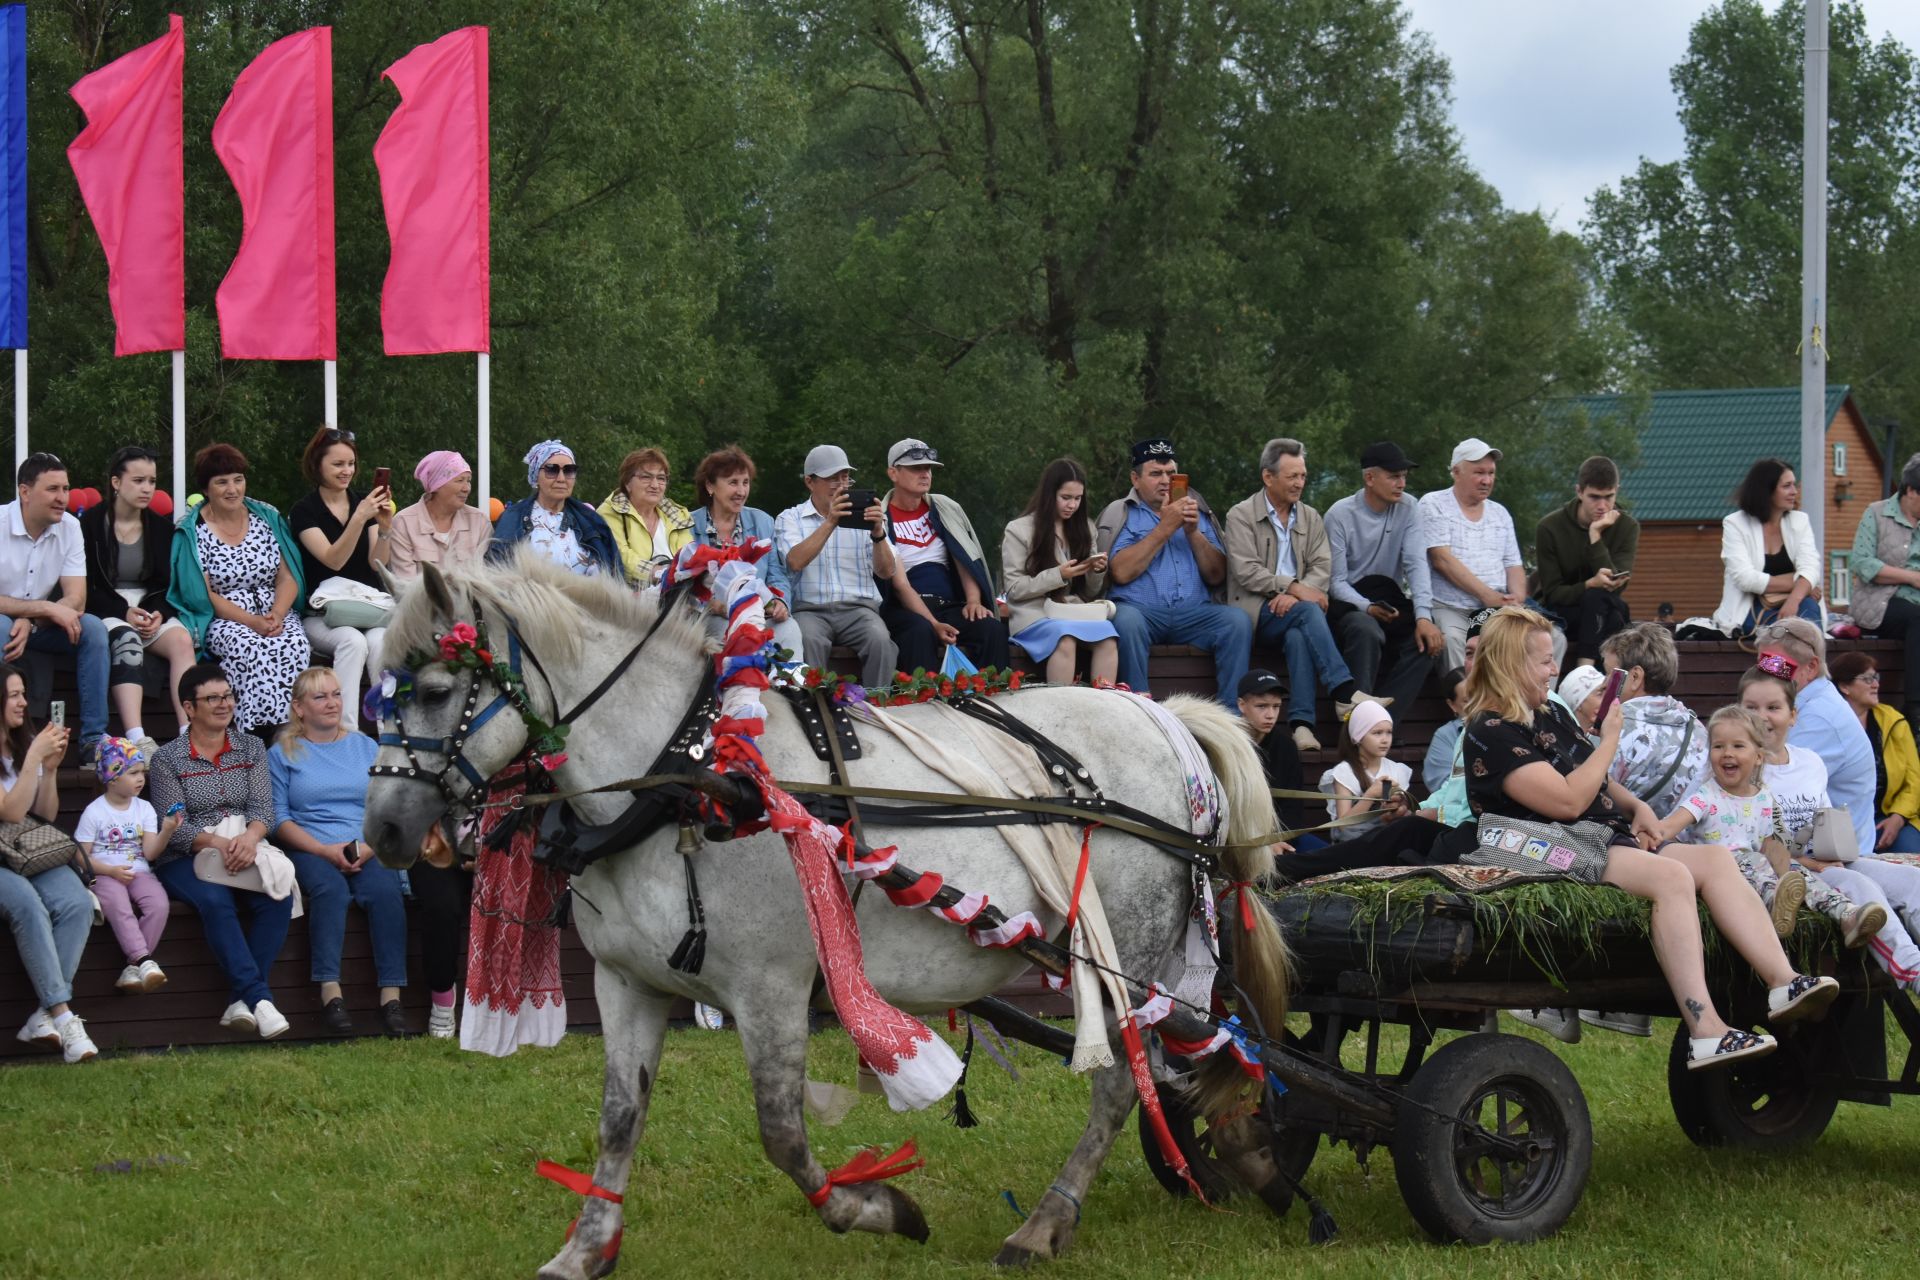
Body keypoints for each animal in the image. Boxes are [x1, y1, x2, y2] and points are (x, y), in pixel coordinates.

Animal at [360, 556, 1290, 1274]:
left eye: (436, 689)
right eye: (378, 695)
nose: (384, 831)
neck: (692, 773)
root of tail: (1164, 714)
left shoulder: (771, 990)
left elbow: (781, 1133)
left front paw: (878, 1209)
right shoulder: (629, 984)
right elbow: (619, 1120)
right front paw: (584, 1249)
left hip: (1128, 952)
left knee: (1125, 1080)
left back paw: (1048, 1221)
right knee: (1192, 1054)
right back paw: (1242, 1145)